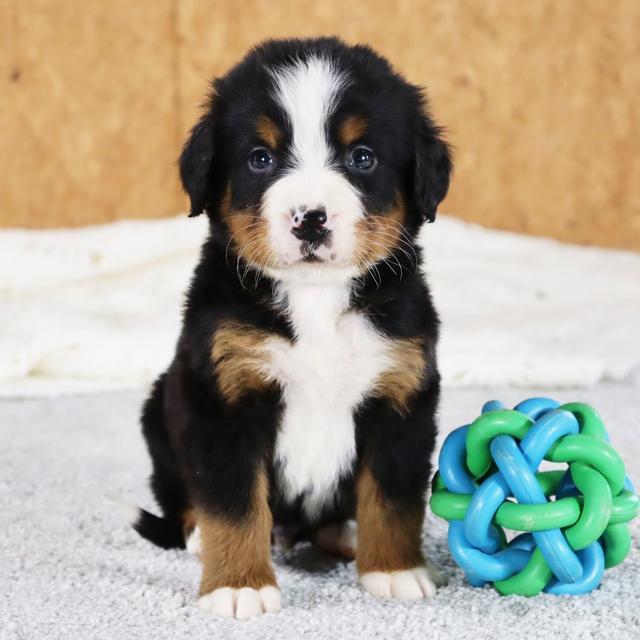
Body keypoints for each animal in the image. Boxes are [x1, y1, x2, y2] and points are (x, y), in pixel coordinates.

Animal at [129, 37, 450, 616]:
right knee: (180, 495)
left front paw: (395, 570)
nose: (310, 218)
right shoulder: (222, 397)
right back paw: (198, 536)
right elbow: (233, 503)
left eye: (362, 157)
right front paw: (238, 585)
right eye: (261, 159)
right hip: (161, 411)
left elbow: (393, 496)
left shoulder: (402, 394)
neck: (315, 298)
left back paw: (346, 532)